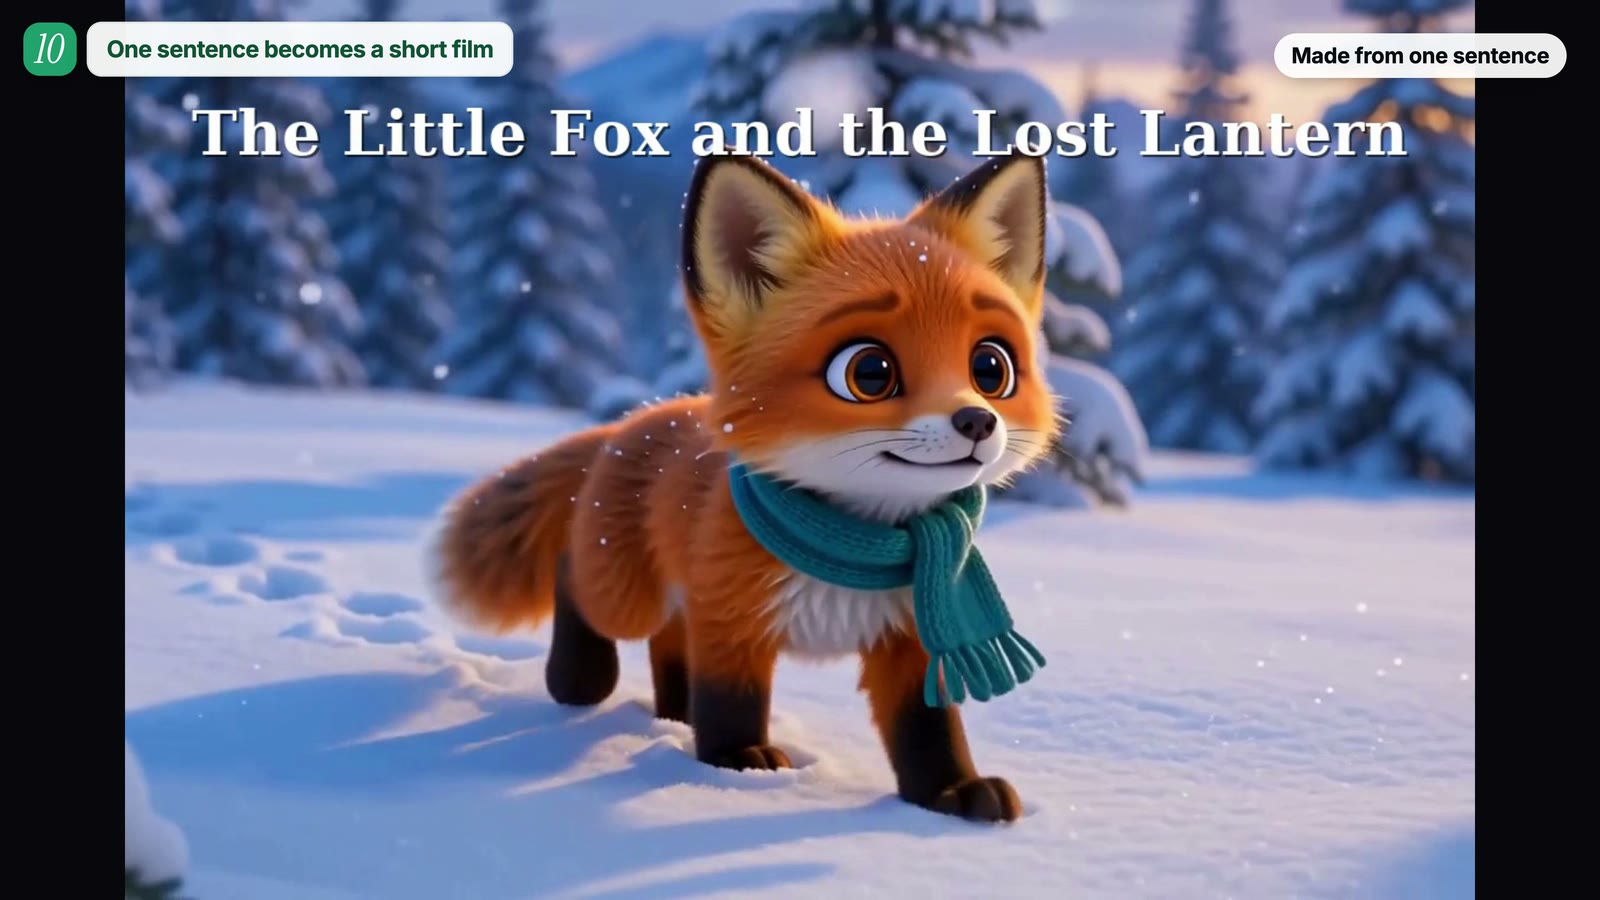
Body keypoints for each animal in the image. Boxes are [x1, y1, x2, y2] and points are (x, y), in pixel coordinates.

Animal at [427, 151, 1061, 823]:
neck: (853, 543)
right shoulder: (732, 619)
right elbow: (730, 701)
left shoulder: (909, 635)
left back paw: (673, 717)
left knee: (668, 647)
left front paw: (950, 793)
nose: (977, 422)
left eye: (990, 367)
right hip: (627, 596)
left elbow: (927, 731)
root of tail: (635, 419)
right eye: (870, 372)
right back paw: (581, 683)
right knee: (577, 578)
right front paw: (737, 766)